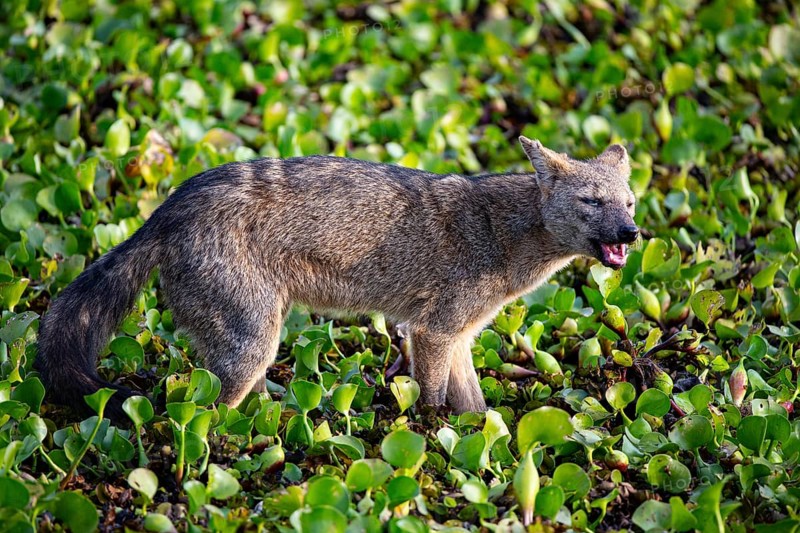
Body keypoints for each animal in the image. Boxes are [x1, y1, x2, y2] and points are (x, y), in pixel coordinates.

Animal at [36, 137, 638, 419]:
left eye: (629, 202)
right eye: (592, 202)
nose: (631, 233)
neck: (504, 232)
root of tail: (168, 206)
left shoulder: (458, 336)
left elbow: (479, 413)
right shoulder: (434, 333)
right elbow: (433, 404)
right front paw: (430, 438)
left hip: (258, 346)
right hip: (252, 349)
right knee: (203, 415)